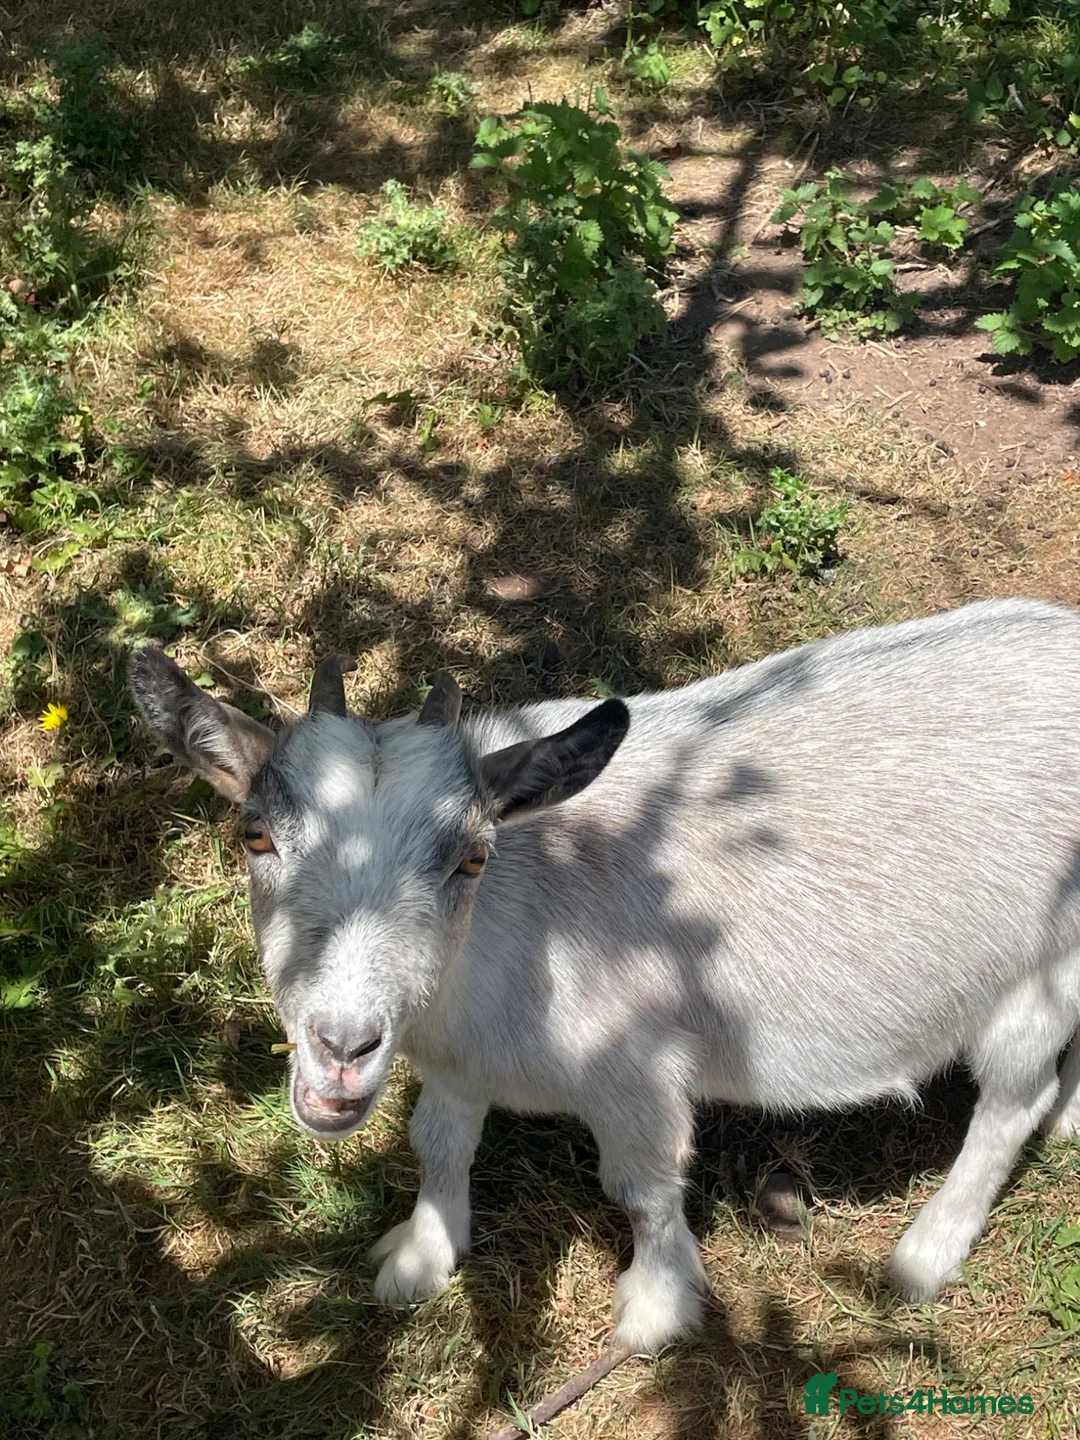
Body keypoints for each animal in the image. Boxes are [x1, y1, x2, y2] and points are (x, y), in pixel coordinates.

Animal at [130, 598, 1080, 1351]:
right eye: (255, 835)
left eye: (473, 856)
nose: (342, 1046)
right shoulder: (458, 1061)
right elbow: (439, 1141)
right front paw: (420, 1256)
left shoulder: (638, 1075)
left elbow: (642, 1187)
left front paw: (656, 1311)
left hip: (1041, 973)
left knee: (1010, 1101)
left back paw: (928, 1253)